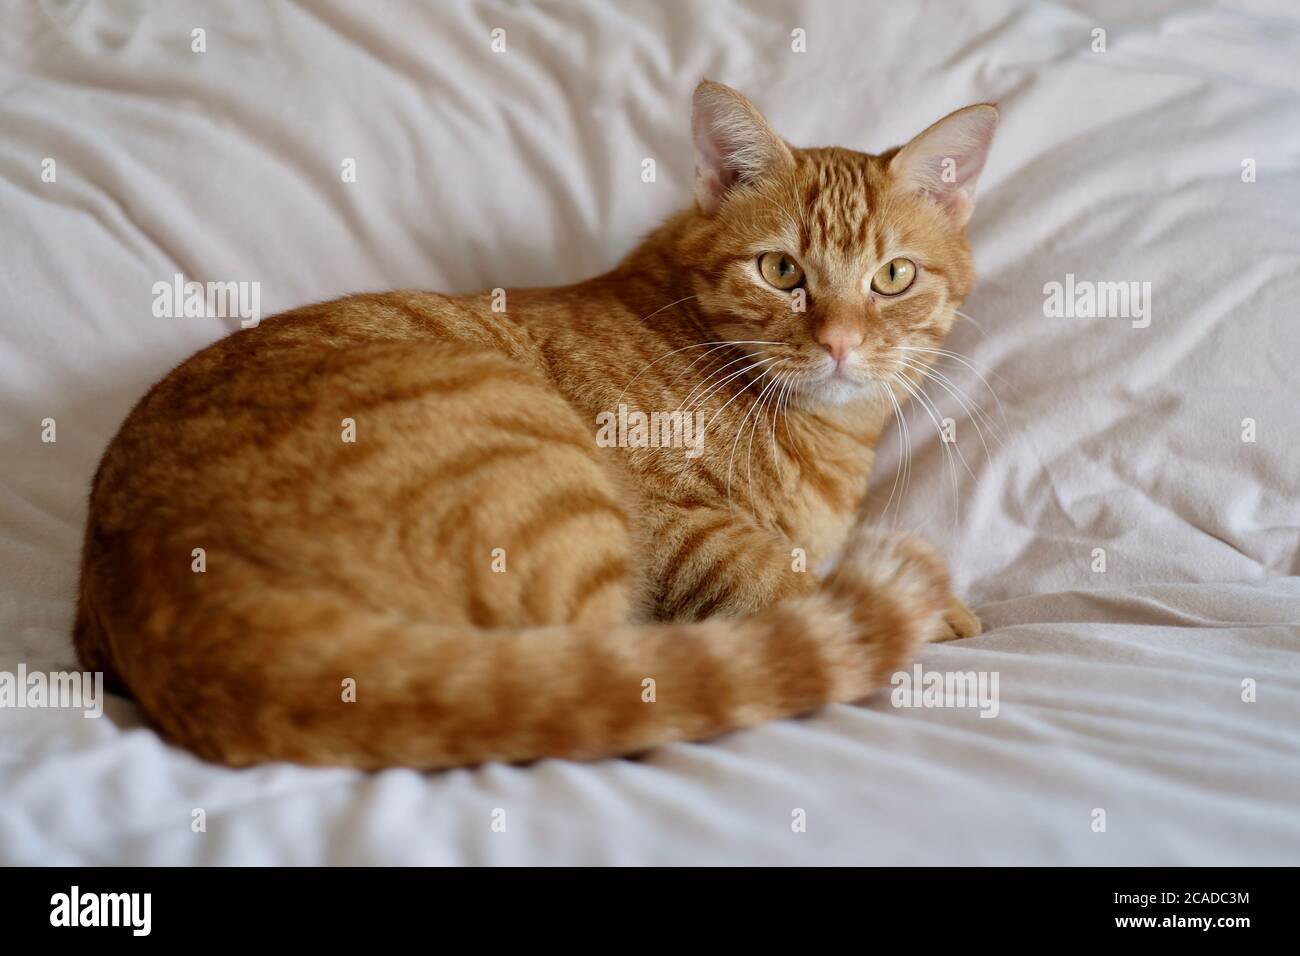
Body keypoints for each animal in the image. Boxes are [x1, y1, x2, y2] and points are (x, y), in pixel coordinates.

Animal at [73, 80, 993, 770]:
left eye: (893, 277)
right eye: (780, 270)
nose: (839, 343)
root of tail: (159, 569)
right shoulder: (677, 527)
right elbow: (777, 571)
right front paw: (941, 614)